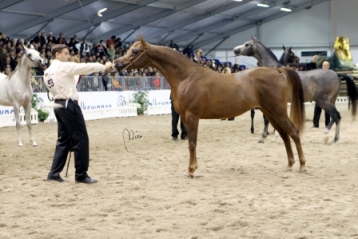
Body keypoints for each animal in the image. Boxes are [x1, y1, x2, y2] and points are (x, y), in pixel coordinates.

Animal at [114, 36, 308, 177]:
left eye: (135, 50)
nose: (116, 63)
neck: (187, 77)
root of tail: (277, 71)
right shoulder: (185, 118)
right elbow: (191, 142)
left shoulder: (192, 116)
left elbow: (192, 143)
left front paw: (191, 170)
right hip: (270, 113)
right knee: (284, 135)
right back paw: (290, 164)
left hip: (278, 111)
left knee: (293, 132)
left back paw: (302, 166)